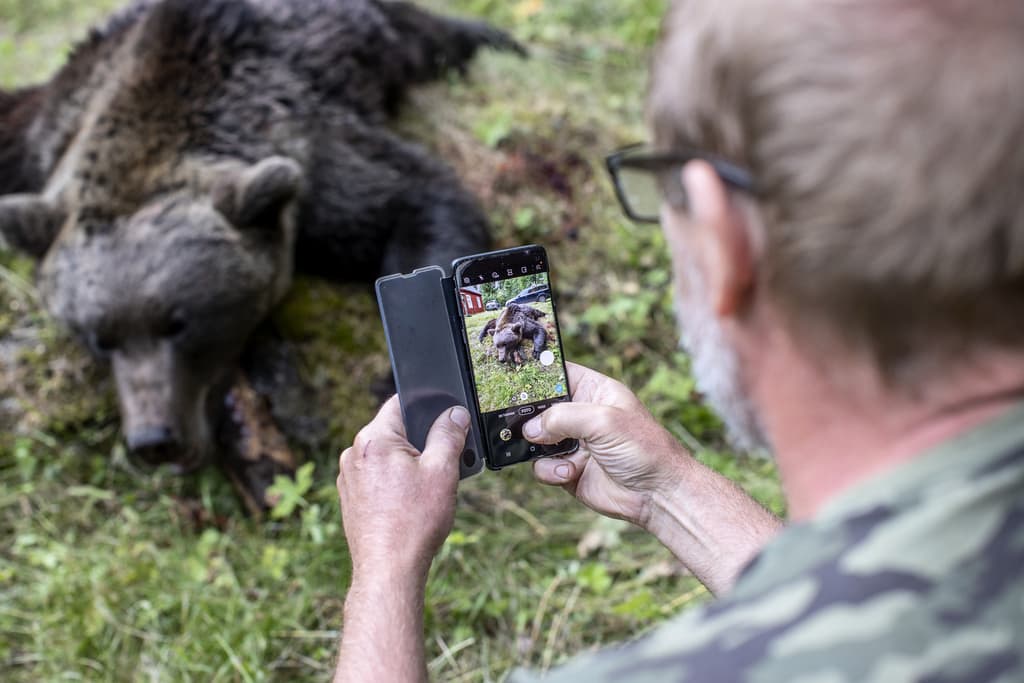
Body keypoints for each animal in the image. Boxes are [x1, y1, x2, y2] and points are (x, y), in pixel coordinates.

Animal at [0, 0, 523, 509]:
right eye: (99, 339)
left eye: (180, 324)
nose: (154, 438)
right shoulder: (44, 129)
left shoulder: (309, 153)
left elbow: (414, 197)